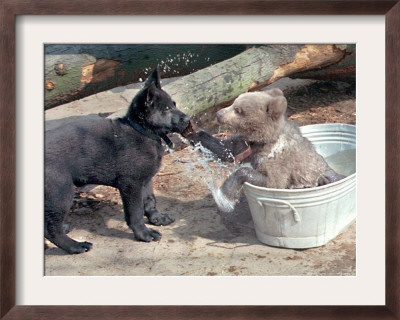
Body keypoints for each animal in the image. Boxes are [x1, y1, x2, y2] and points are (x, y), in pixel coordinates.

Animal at [45, 69, 191, 254]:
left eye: (174, 104)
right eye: (166, 109)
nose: (188, 119)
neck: (141, 131)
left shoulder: (145, 179)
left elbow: (150, 200)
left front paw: (157, 218)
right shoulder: (130, 184)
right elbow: (135, 212)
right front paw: (144, 233)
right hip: (61, 192)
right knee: (52, 229)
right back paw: (75, 245)